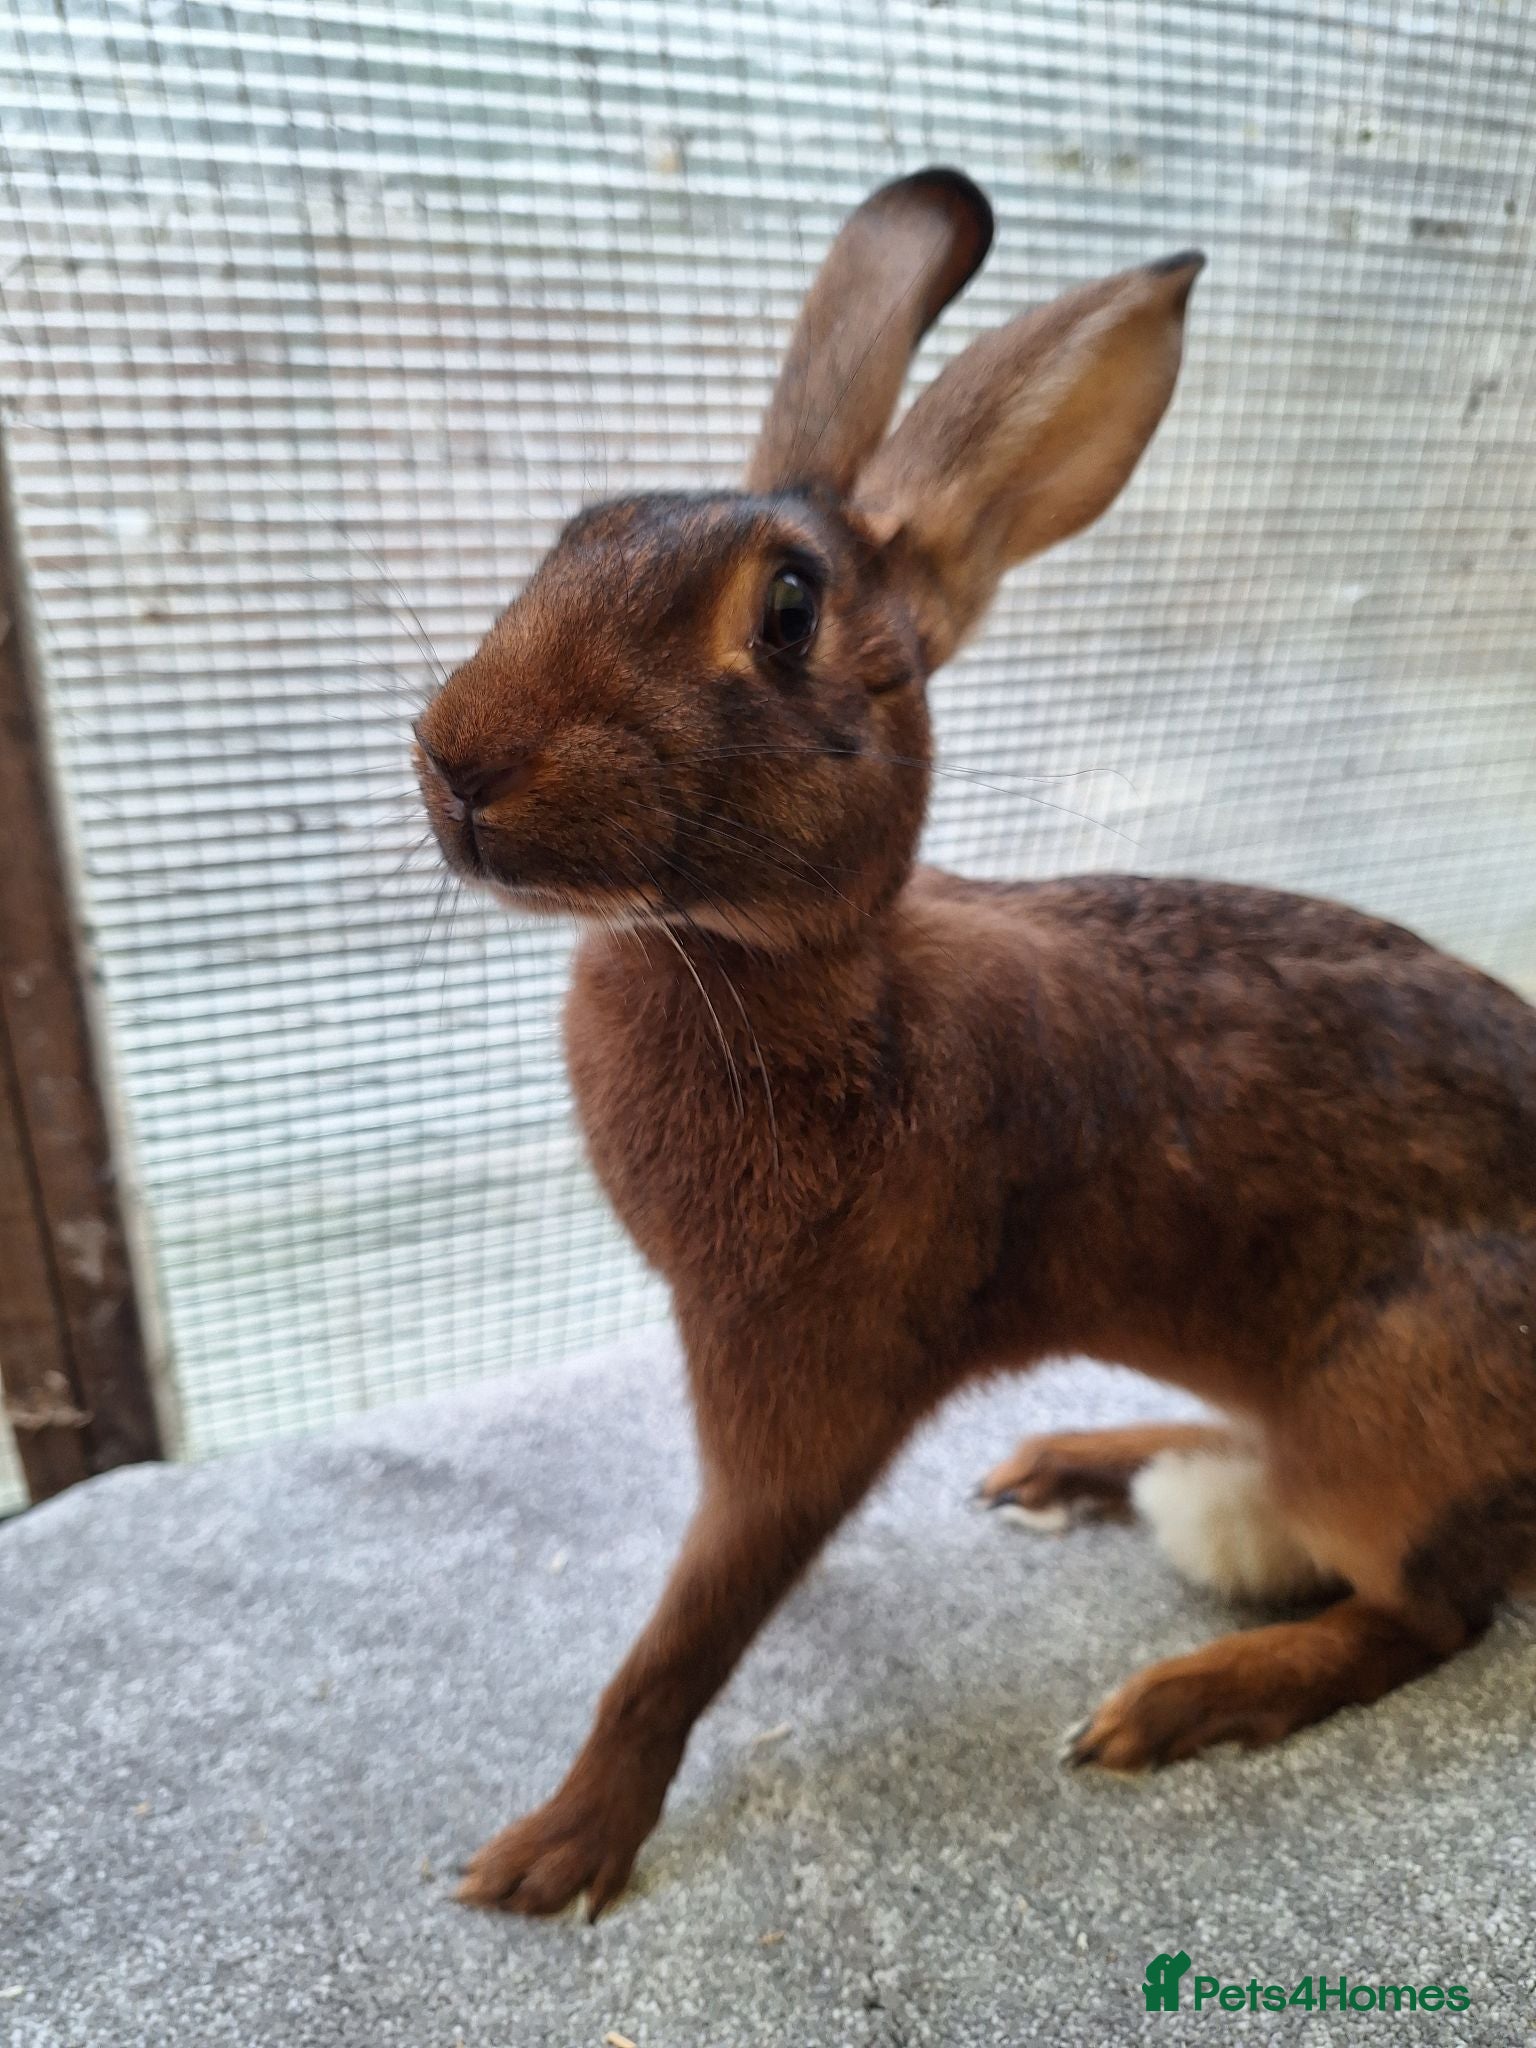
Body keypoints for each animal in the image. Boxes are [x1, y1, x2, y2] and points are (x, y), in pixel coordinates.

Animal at [414, 167, 1536, 1920]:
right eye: (571, 535)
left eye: (787, 610)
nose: (458, 761)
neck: (801, 981)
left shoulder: (811, 1374)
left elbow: (684, 1635)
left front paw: (550, 1854)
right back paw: (1075, 1461)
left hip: (1399, 1410)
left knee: (1426, 1612)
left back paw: (1183, 1702)